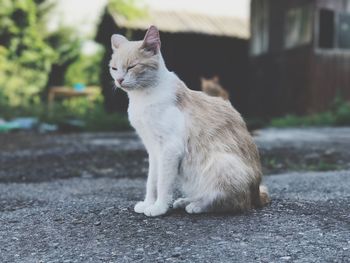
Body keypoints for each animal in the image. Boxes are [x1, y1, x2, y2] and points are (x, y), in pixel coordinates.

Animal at [109, 25, 270, 218]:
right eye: (114, 68)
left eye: (132, 66)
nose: (119, 80)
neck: (142, 98)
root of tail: (257, 193)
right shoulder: (153, 150)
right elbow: (151, 181)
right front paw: (148, 203)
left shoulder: (170, 149)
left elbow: (162, 183)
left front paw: (158, 208)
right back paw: (185, 201)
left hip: (222, 163)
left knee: (233, 202)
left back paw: (197, 206)